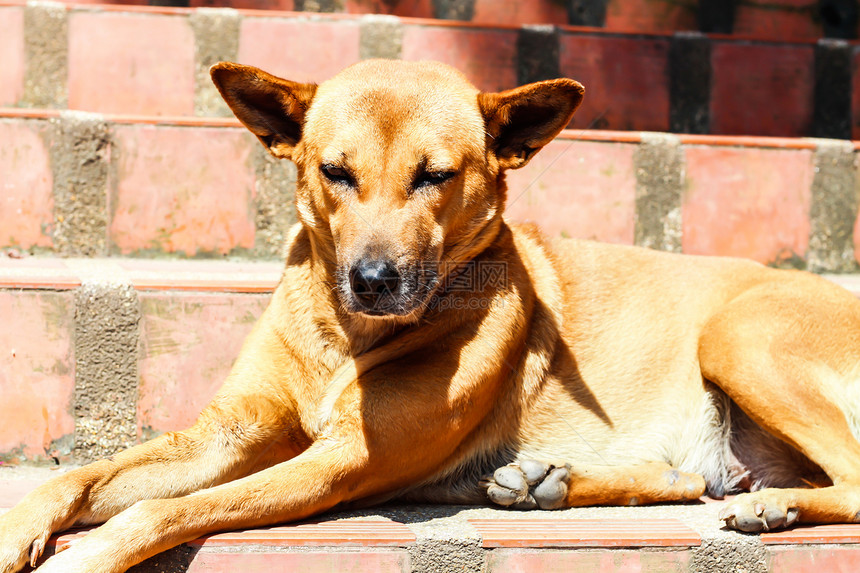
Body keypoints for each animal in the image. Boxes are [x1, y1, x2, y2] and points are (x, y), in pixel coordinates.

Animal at [1, 59, 860, 572]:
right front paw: (18, 526)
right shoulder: (230, 432)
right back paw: (549, 482)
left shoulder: (343, 460)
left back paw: (771, 505)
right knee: (695, 479)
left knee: (846, 478)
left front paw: (84, 557)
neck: (342, 336)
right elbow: (79, 476)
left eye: (435, 176)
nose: (373, 280)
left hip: (740, 336)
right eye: (334, 171)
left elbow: (167, 506)